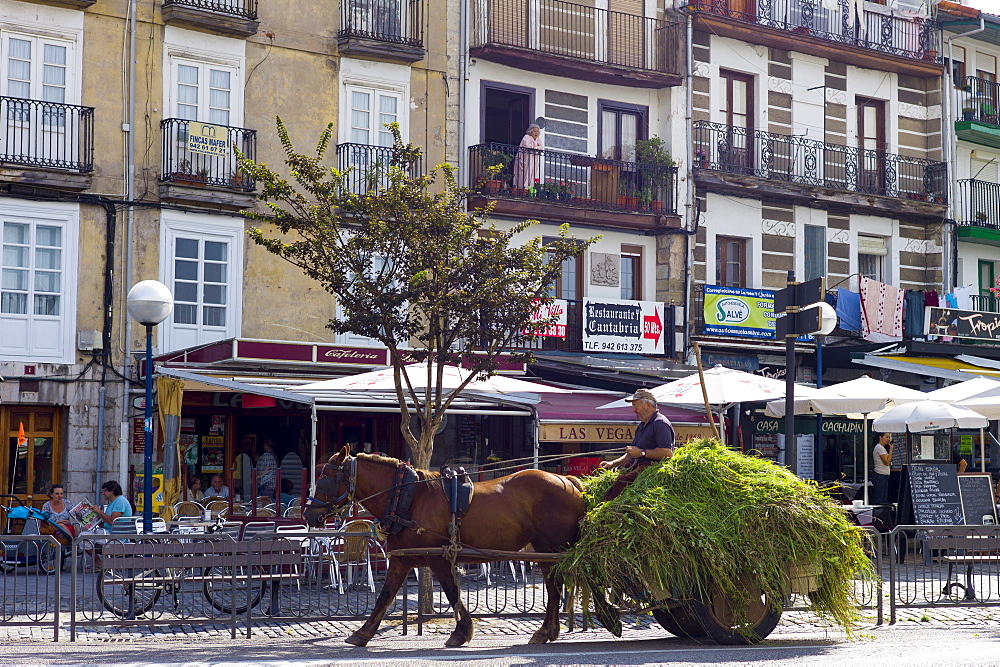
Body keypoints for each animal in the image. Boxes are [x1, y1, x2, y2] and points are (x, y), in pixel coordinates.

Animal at [304, 448, 584, 648]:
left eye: (324, 480)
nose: (308, 515)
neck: (407, 498)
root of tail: (567, 480)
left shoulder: (438, 559)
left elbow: (452, 592)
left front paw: (461, 633)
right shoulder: (401, 560)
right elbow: (385, 596)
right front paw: (363, 633)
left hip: (550, 546)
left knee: (554, 587)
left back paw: (546, 631)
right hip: (544, 549)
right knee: (554, 586)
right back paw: (547, 631)